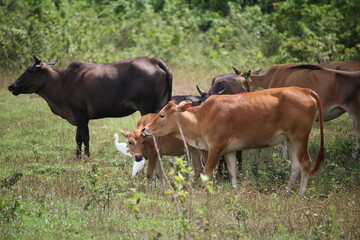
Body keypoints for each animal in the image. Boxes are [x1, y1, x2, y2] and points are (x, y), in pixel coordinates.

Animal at [142, 86, 324, 197]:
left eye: (162, 115)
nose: (145, 129)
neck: (201, 117)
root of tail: (304, 90)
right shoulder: (229, 150)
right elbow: (232, 172)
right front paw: (236, 194)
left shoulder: (215, 147)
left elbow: (207, 172)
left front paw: (204, 193)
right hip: (290, 139)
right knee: (295, 166)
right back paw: (286, 193)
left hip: (300, 137)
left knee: (305, 163)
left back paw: (300, 195)